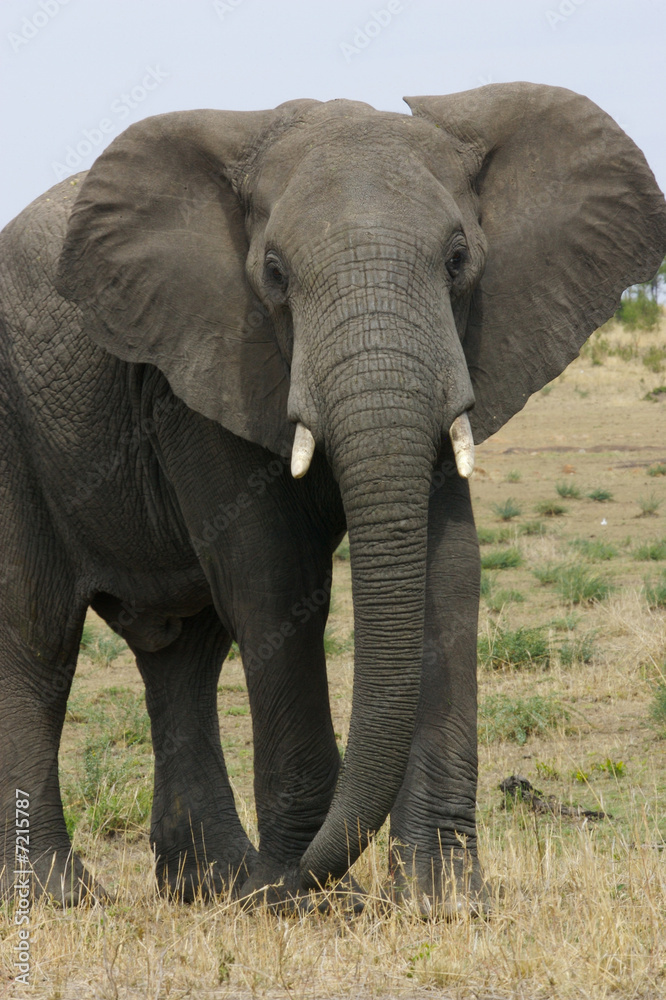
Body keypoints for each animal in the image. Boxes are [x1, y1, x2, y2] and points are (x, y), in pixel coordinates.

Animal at [3, 84, 664, 916]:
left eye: (458, 260)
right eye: (274, 273)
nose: (295, 882)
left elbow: (449, 572)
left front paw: (443, 903)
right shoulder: (205, 362)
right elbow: (273, 581)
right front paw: (306, 903)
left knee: (184, 655)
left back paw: (216, 884)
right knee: (39, 639)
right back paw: (68, 897)